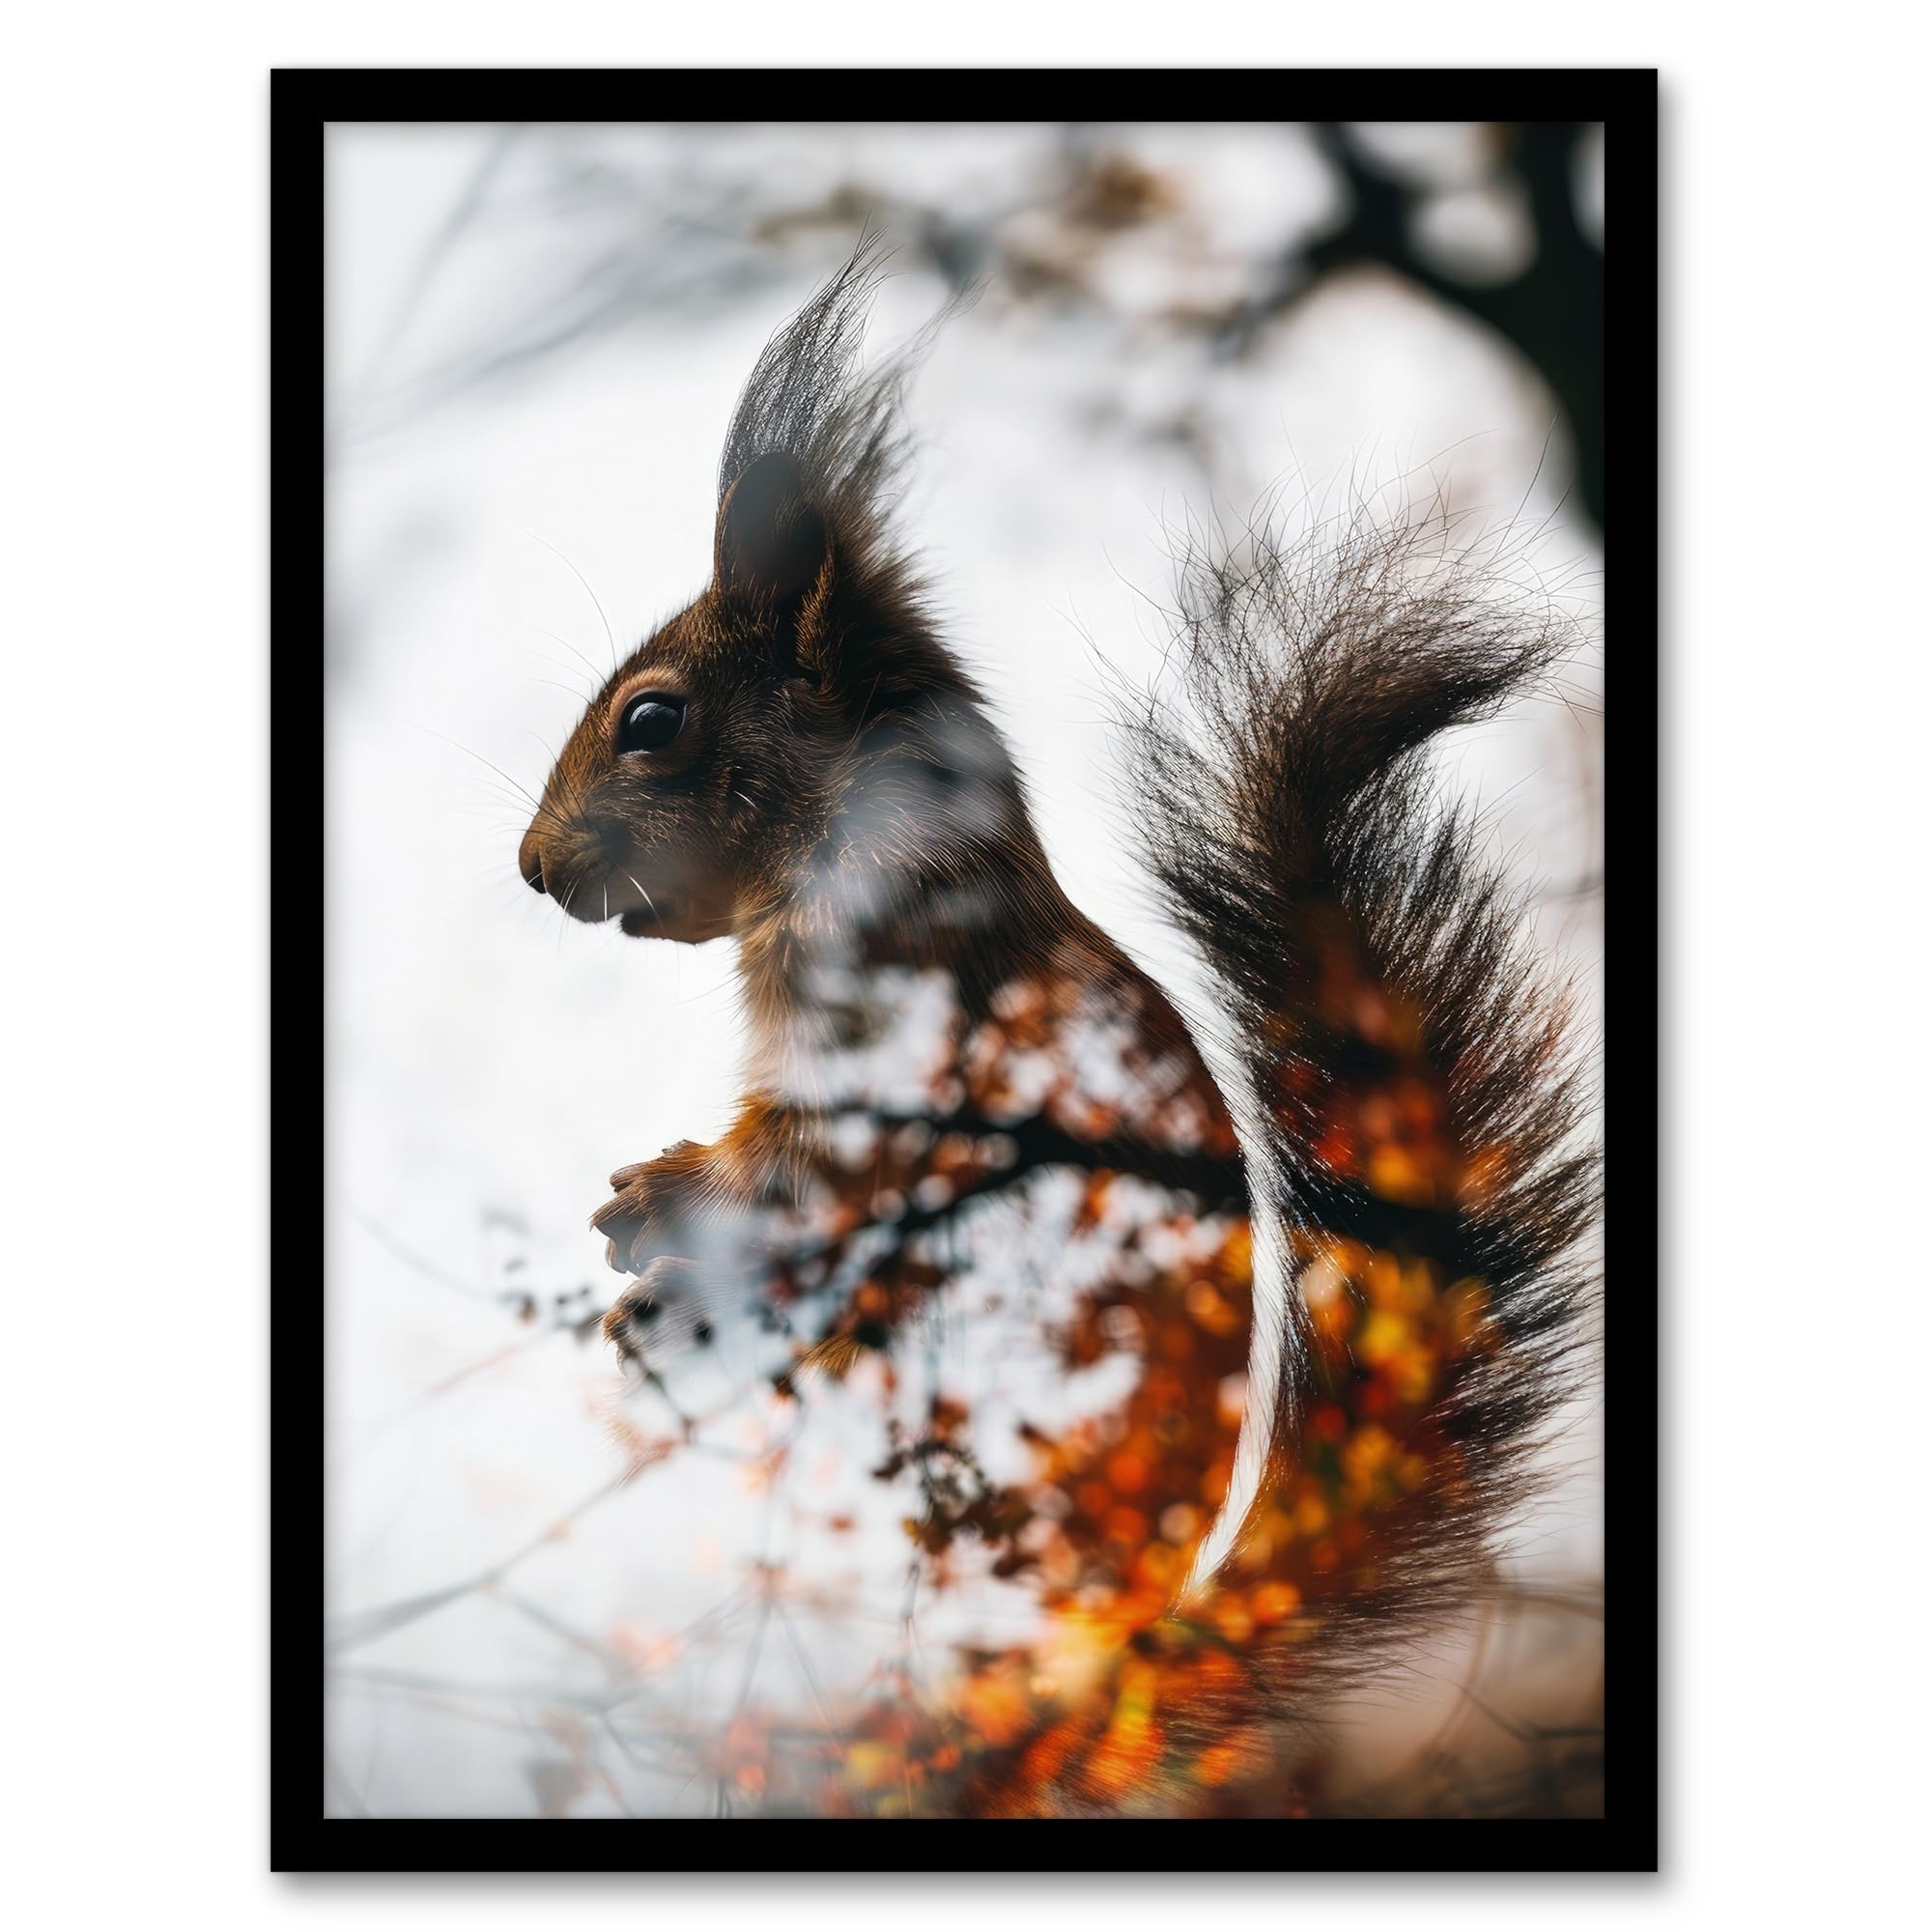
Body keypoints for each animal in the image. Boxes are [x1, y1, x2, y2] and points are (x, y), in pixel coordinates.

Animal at [515, 244, 1599, 1818]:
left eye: (651, 721)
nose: (534, 868)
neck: (863, 841)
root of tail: (1108, 1667)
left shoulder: (910, 1024)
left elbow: (811, 1164)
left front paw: (657, 1200)